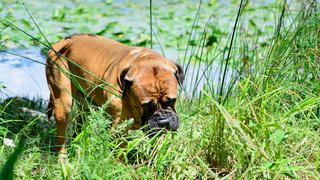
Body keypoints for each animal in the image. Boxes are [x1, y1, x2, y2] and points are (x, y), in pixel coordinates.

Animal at [46, 33, 184, 153]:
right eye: (147, 106)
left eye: (172, 101)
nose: (163, 121)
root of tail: (60, 42)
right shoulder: (118, 129)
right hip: (63, 103)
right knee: (61, 135)